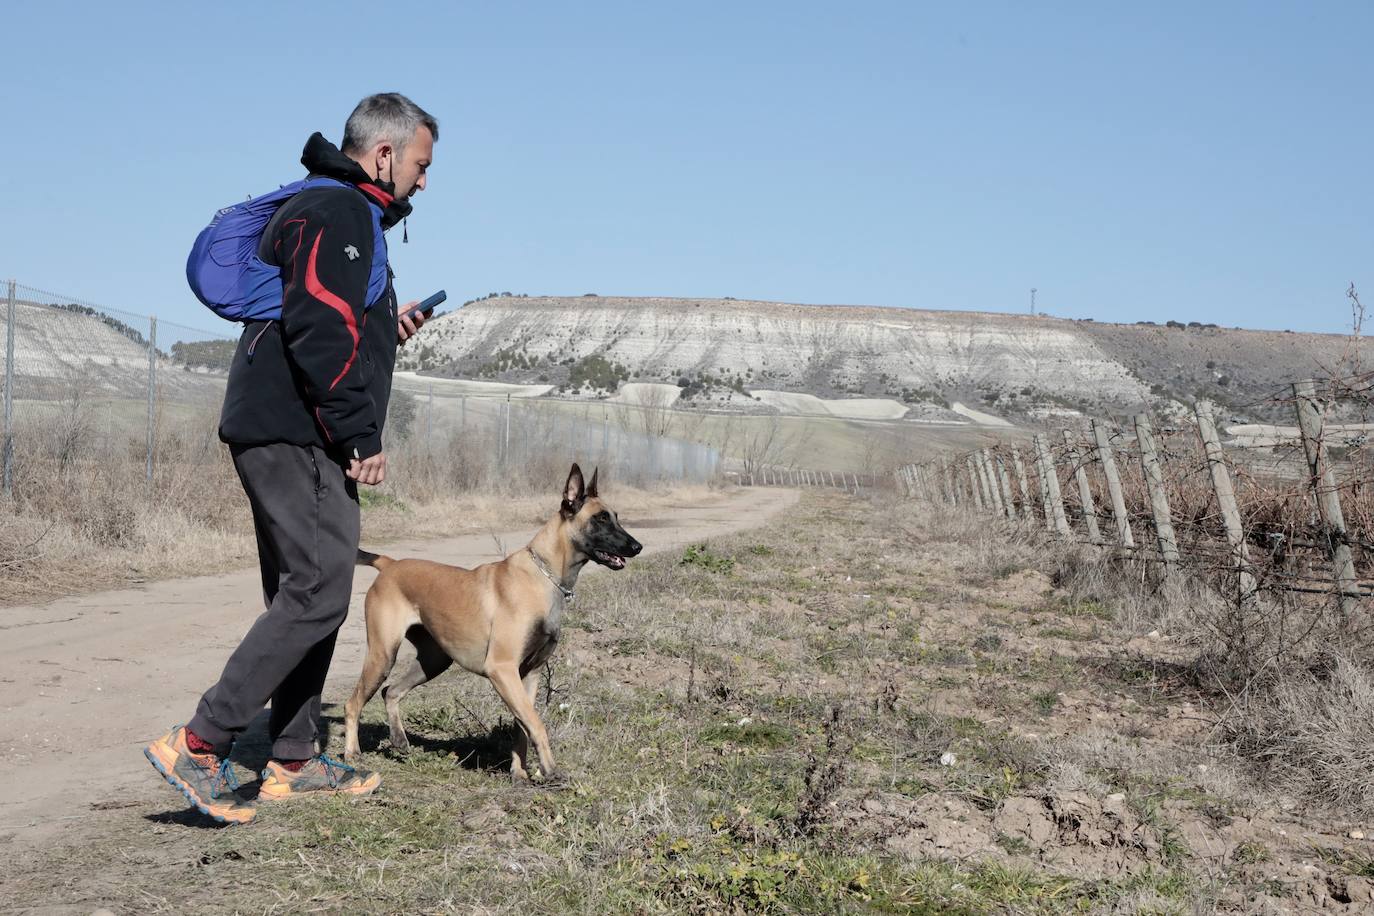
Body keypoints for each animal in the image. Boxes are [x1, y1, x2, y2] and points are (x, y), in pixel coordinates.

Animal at [343, 461, 643, 785]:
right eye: (600, 519)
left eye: (616, 517)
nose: (637, 546)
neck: (543, 576)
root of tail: (390, 564)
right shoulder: (502, 669)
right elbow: (536, 724)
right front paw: (550, 770)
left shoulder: (528, 675)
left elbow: (522, 728)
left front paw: (519, 772)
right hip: (382, 655)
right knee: (354, 703)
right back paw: (351, 754)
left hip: (433, 661)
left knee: (391, 691)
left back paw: (399, 739)